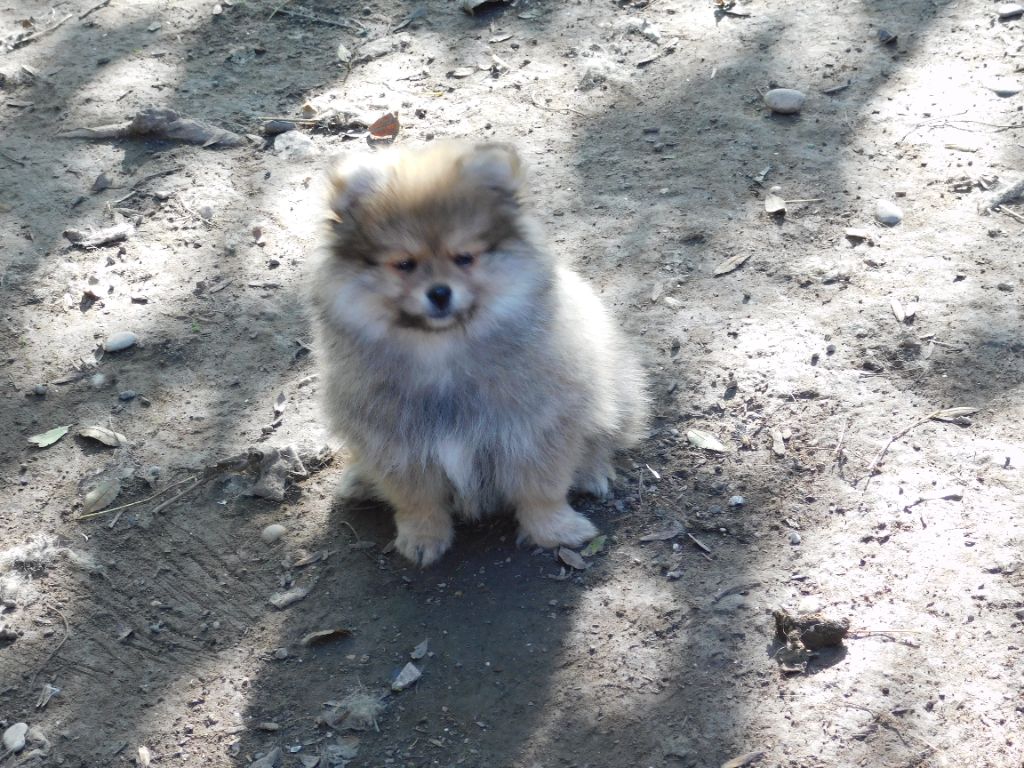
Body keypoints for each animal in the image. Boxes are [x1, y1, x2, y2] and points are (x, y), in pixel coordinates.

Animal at [309, 141, 647, 566]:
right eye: (404, 264)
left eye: (464, 258)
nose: (439, 292)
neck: (442, 353)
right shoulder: (395, 443)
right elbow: (416, 499)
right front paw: (422, 537)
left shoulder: (536, 427)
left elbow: (543, 487)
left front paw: (555, 529)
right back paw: (360, 479)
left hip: (614, 387)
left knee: (604, 436)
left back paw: (591, 470)